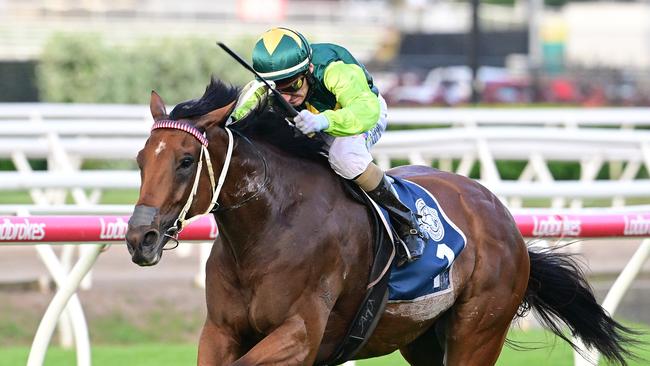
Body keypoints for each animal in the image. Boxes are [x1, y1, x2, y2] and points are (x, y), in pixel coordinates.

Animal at [124, 78, 636, 364]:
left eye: (186, 161)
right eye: (140, 160)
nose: (139, 238)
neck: (267, 230)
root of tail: (499, 213)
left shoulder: (299, 333)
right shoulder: (221, 331)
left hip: (479, 329)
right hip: (424, 339)